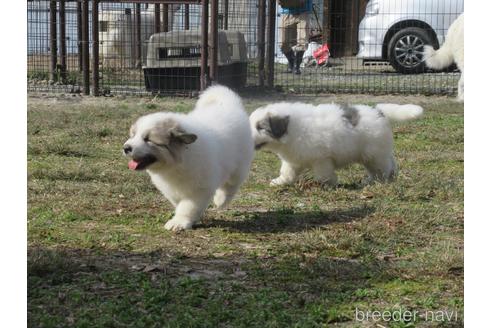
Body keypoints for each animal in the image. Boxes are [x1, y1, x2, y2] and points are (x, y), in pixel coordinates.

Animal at [123, 86, 254, 232]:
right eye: (133, 135)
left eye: (148, 139)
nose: (126, 148)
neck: (176, 163)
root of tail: (228, 104)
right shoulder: (171, 190)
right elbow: (179, 204)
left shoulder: (199, 189)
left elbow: (188, 207)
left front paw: (179, 222)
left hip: (239, 165)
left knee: (231, 185)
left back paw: (221, 200)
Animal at [250, 102, 422, 187]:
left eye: (260, 127)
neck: (293, 129)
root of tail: (379, 111)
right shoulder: (293, 160)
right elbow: (287, 171)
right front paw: (280, 182)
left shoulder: (322, 158)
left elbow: (323, 174)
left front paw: (328, 183)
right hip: (376, 153)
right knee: (390, 163)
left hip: (374, 155)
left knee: (383, 169)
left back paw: (380, 181)